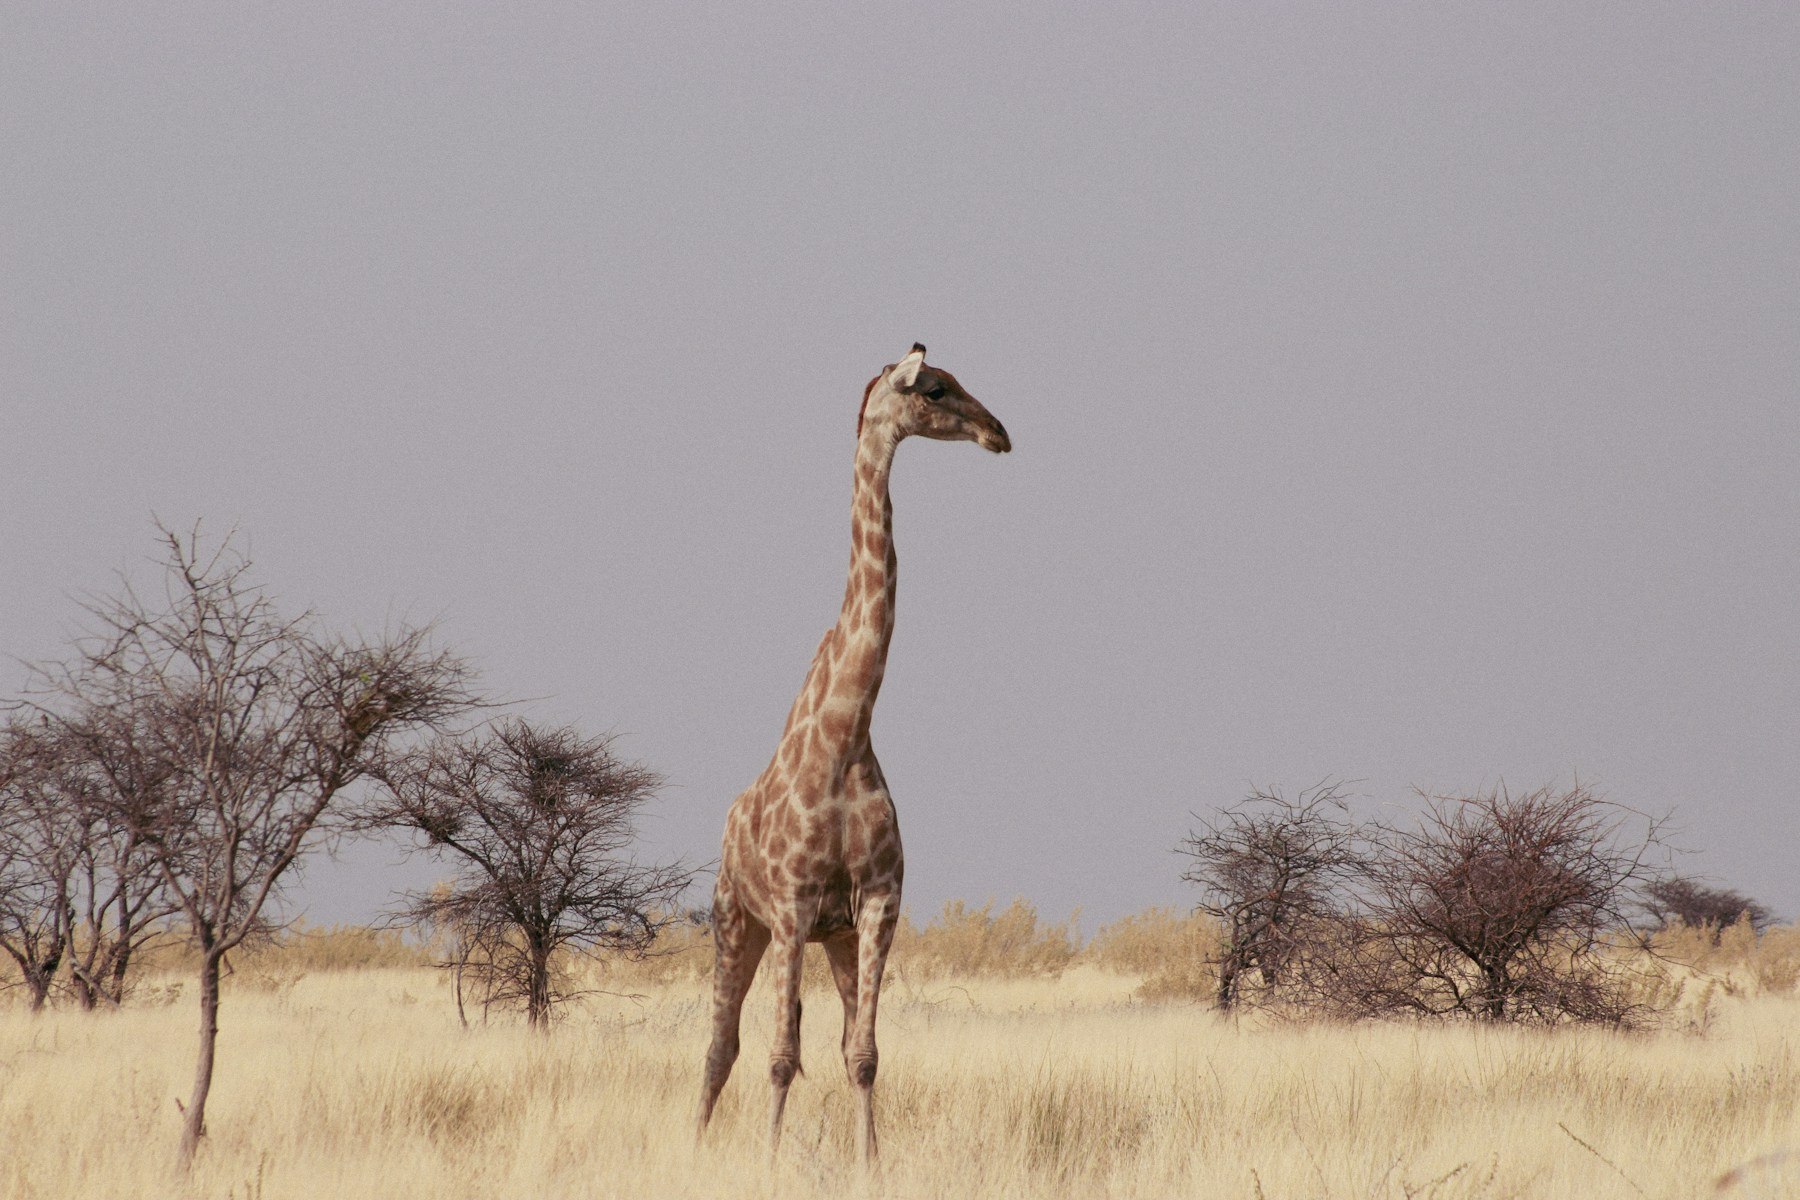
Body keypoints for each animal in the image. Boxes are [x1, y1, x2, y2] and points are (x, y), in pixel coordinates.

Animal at [695, 343, 1010, 1163]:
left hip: (829, 938)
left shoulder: (874, 903)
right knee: (719, 1048)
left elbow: (861, 1054)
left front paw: (871, 1165)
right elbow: (778, 1056)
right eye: (936, 389)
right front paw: (770, 1165)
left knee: (816, 1045)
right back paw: (695, 1147)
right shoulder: (792, 904)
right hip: (736, 920)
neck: (845, 734)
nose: (999, 432)